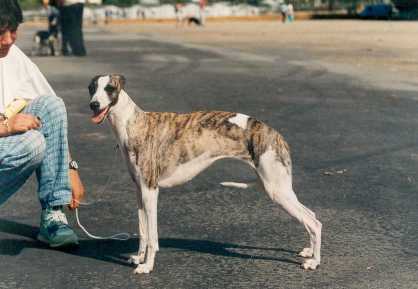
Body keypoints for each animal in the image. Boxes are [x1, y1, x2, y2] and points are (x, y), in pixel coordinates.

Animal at [88, 73, 324, 272]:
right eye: (92, 88)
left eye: (110, 88)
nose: (94, 104)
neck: (133, 123)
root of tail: (277, 135)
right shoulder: (139, 190)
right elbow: (143, 230)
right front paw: (138, 258)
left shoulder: (151, 191)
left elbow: (153, 236)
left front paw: (147, 266)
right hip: (279, 188)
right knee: (311, 215)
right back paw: (309, 251)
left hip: (276, 190)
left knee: (313, 222)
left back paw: (314, 262)